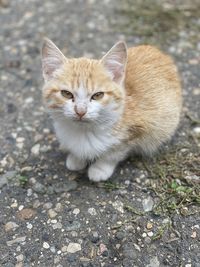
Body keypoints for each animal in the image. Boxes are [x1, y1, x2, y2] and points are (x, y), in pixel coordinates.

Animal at [41, 38, 182, 182]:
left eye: (98, 95)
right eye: (66, 94)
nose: (80, 111)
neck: (84, 131)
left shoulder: (136, 132)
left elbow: (113, 153)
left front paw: (100, 168)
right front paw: (76, 157)